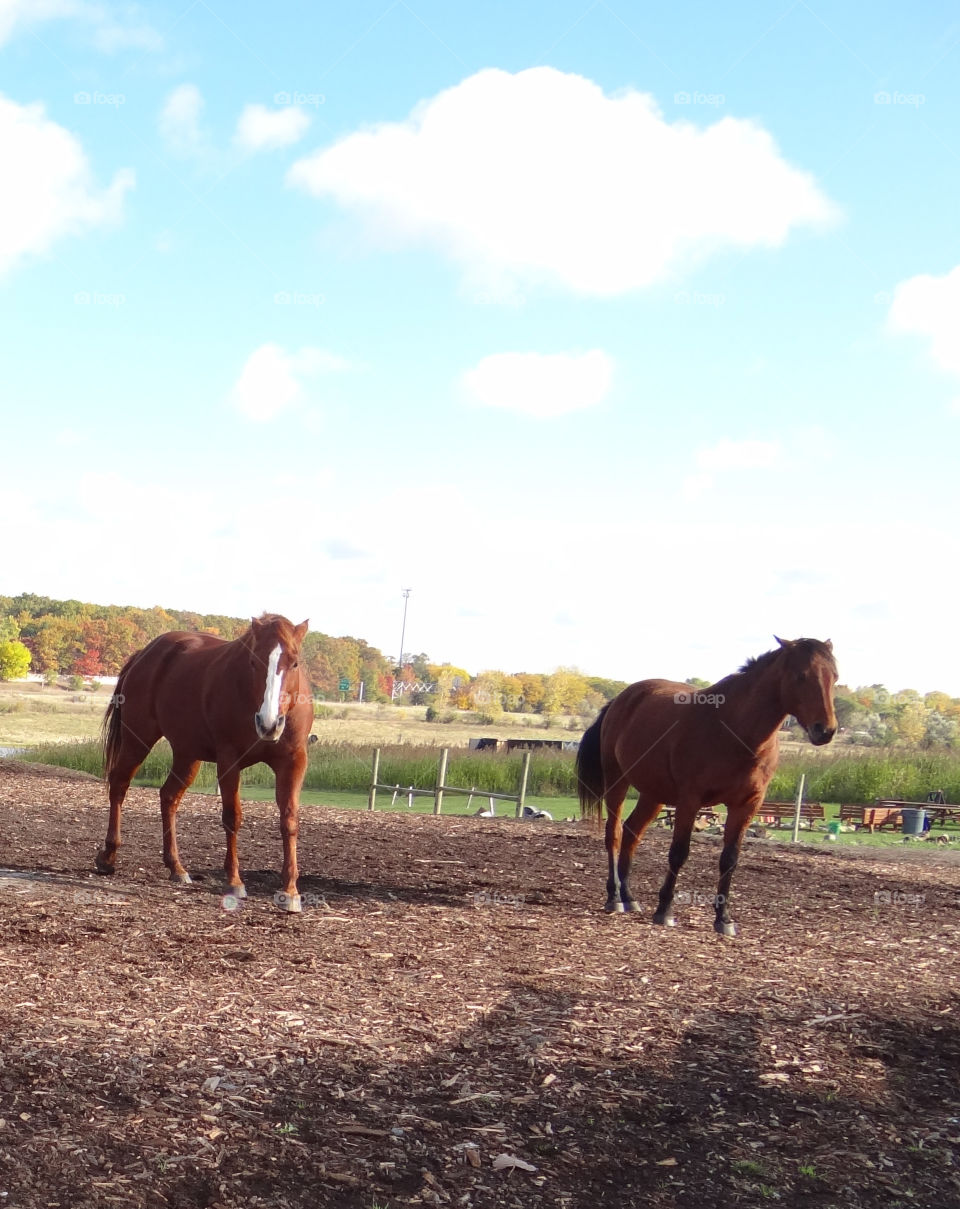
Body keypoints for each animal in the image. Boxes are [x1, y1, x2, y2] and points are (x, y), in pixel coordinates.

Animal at [94, 613, 313, 912]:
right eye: (253, 662)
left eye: (294, 663)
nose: (268, 723)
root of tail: (145, 654)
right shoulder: (229, 759)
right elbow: (232, 817)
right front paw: (234, 881)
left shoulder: (293, 762)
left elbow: (289, 820)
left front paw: (290, 891)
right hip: (137, 739)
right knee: (119, 785)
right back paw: (108, 855)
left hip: (187, 754)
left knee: (169, 797)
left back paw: (176, 867)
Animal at [576, 637, 837, 936]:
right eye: (801, 676)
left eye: (835, 677)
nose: (825, 730)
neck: (732, 728)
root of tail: (621, 699)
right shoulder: (690, 801)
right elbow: (679, 853)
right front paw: (665, 910)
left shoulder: (746, 806)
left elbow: (729, 859)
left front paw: (724, 919)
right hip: (617, 782)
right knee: (615, 834)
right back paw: (615, 897)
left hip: (653, 795)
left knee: (632, 833)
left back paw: (629, 897)